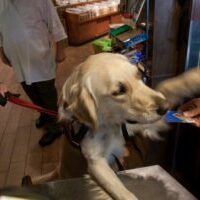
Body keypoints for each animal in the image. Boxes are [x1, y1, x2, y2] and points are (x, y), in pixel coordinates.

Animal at [31, 53, 169, 200]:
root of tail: (58, 170)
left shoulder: (127, 126)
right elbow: (121, 191)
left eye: (138, 75)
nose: (166, 107)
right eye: (119, 91)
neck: (109, 124)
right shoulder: (96, 162)